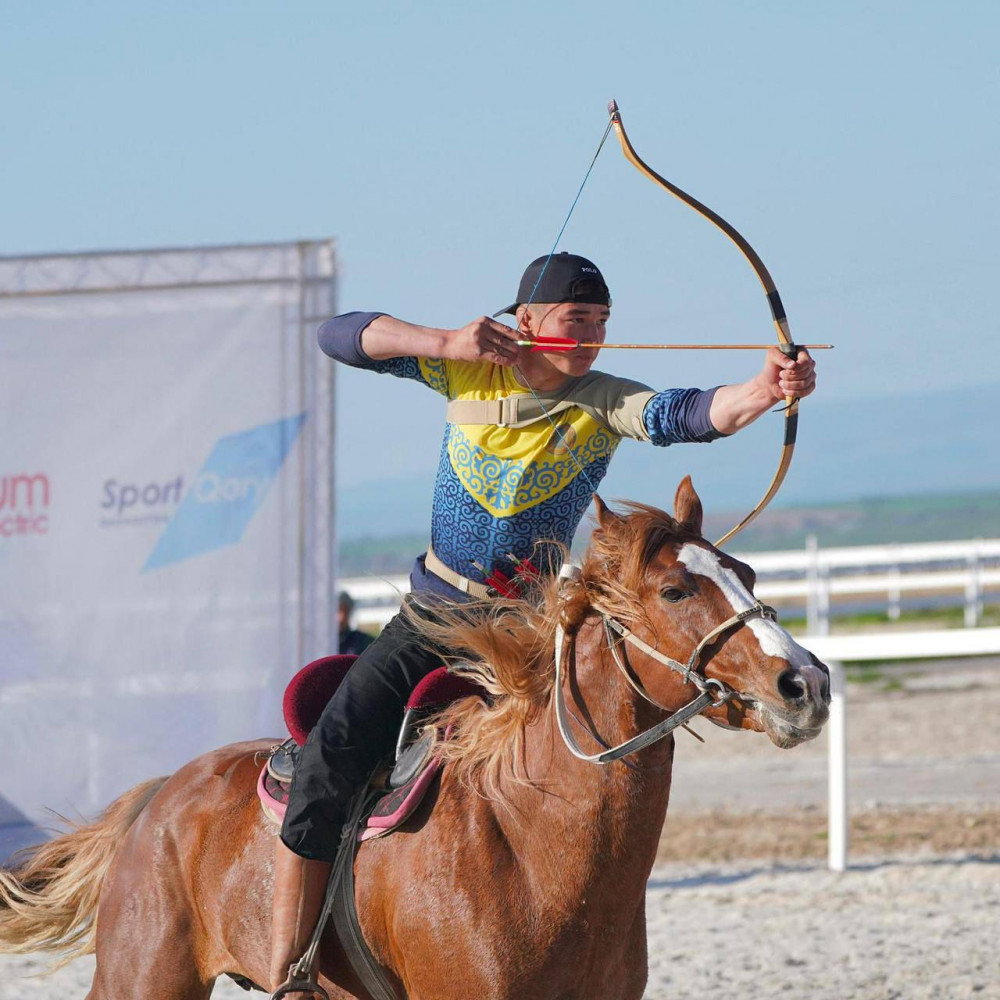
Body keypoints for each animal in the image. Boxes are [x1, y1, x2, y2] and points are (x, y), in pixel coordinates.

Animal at [0, 480, 828, 996]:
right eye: (675, 589)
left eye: (747, 570)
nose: (806, 682)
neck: (531, 840)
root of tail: (157, 800)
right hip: (142, 978)